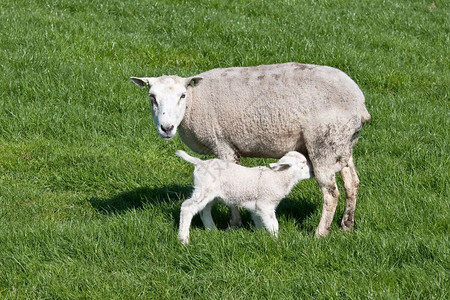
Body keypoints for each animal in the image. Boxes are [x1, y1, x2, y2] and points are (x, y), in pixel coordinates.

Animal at [175, 150, 312, 244]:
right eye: (303, 163)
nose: (313, 171)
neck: (278, 178)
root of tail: (200, 162)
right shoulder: (265, 204)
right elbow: (274, 224)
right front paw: (276, 240)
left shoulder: (256, 207)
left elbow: (259, 222)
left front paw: (261, 235)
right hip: (203, 189)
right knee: (187, 207)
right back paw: (183, 239)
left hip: (209, 193)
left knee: (205, 210)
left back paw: (212, 230)